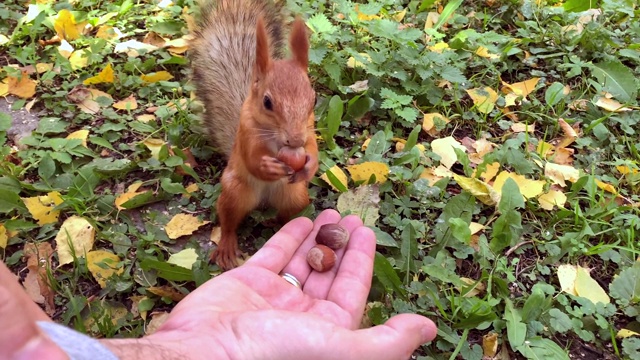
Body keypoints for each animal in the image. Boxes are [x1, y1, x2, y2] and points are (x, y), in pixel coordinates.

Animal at [190, 0, 320, 270]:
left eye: (314, 99)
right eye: (267, 102)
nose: (295, 140)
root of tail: (264, 201)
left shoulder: (309, 129)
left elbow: (313, 148)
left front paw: (309, 166)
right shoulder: (246, 132)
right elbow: (252, 159)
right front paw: (268, 167)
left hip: (295, 196)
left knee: (287, 214)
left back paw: (277, 222)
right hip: (235, 191)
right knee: (229, 221)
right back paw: (227, 246)